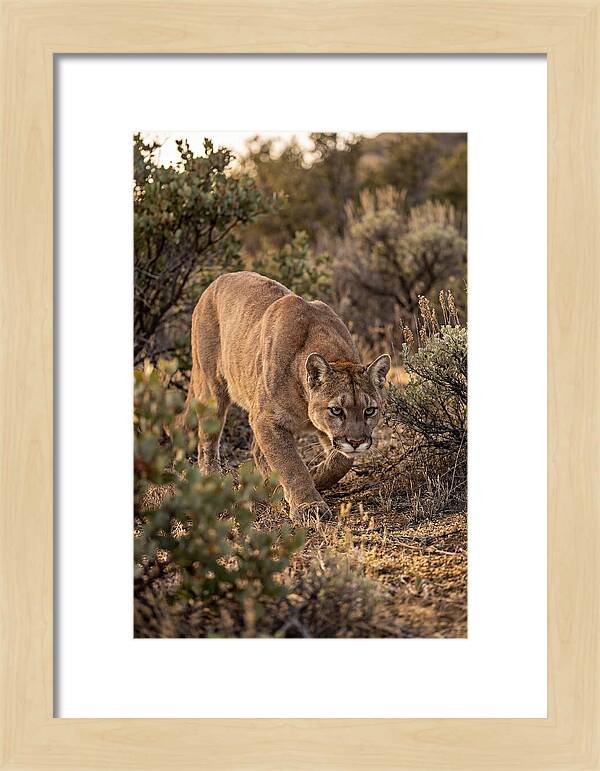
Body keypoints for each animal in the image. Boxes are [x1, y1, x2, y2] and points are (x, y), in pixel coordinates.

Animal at [177, 271, 390, 519]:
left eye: (370, 411)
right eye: (337, 410)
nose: (356, 442)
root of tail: (216, 281)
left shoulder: (317, 429)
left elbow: (341, 461)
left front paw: (316, 475)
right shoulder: (266, 418)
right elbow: (290, 464)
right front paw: (309, 505)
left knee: (256, 451)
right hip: (213, 389)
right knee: (207, 443)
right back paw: (215, 481)